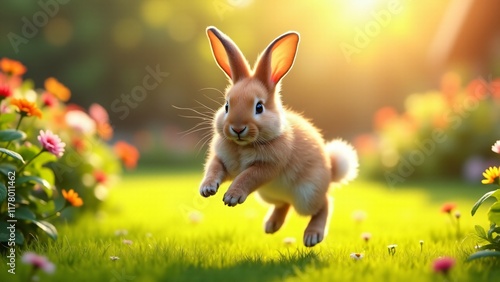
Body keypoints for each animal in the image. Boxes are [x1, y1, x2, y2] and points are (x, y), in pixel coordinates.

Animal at [199, 26, 360, 247]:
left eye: (259, 107)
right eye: (226, 105)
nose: (237, 128)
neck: (244, 146)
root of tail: (330, 170)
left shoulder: (268, 166)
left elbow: (247, 176)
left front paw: (231, 197)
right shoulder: (223, 160)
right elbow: (213, 169)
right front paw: (207, 189)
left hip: (307, 195)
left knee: (325, 203)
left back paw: (312, 236)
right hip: (268, 195)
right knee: (284, 204)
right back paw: (271, 226)